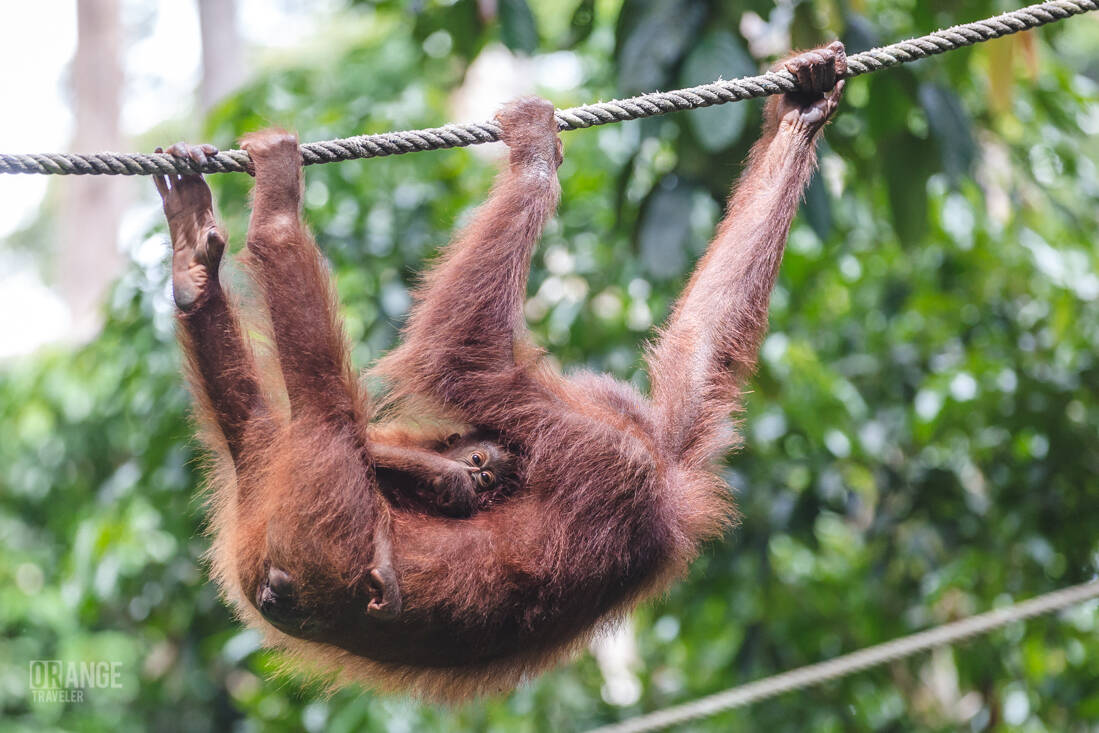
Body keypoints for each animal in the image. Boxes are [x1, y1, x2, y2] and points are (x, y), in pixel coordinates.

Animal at [154, 43, 846, 701]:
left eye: (488, 462)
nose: (474, 465)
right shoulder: (647, 454)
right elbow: (698, 360)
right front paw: (804, 106)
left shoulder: (609, 459)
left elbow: (462, 359)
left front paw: (535, 149)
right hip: (270, 492)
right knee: (256, 427)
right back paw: (193, 260)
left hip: (314, 519)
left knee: (324, 408)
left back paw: (273, 216)